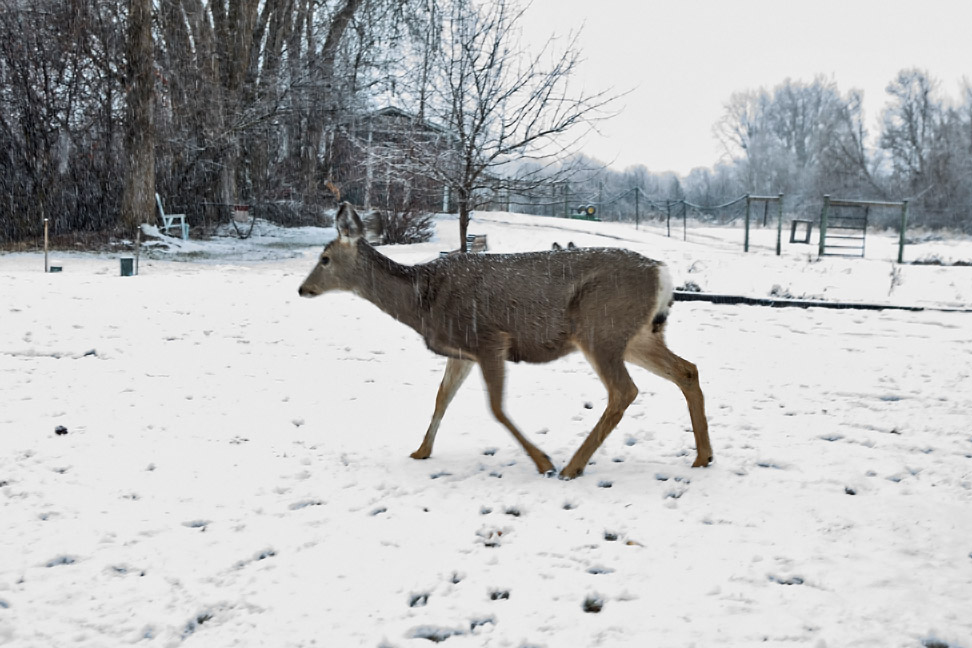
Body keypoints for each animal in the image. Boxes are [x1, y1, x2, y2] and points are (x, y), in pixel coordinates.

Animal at [298, 202, 712, 480]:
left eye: (325, 258)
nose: (303, 289)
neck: (421, 302)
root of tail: (663, 274)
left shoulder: (489, 339)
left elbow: (495, 407)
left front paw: (543, 461)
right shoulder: (462, 351)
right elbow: (441, 398)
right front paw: (420, 451)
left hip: (600, 328)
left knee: (624, 390)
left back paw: (571, 466)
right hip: (637, 335)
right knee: (687, 370)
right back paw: (703, 457)